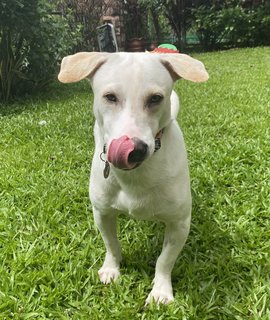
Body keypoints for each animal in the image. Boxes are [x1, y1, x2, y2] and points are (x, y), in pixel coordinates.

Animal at [58, 51, 208, 304]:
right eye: (110, 97)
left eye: (156, 98)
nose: (135, 149)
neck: (135, 175)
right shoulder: (102, 213)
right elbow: (111, 244)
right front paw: (112, 268)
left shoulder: (179, 223)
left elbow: (165, 260)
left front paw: (160, 290)